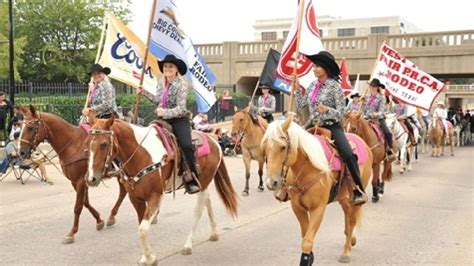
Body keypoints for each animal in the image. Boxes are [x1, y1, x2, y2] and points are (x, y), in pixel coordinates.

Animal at [18, 105, 127, 244]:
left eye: (31, 127)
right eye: (21, 127)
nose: (21, 152)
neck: (72, 144)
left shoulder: (81, 181)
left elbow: (78, 207)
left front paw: (72, 233)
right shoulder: (75, 181)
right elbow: (85, 202)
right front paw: (99, 220)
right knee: (123, 191)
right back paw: (112, 216)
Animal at [86, 117, 237, 266]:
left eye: (104, 144)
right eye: (87, 144)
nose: (91, 179)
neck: (141, 154)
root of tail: (213, 140)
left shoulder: (155, 196)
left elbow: (142, 229)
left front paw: (150, 258)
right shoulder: (135, 199)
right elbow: (141, 225)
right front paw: (145, 257)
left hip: (203, 183)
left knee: (198, 210)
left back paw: (188, 245)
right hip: (203, 185)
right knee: (207, 201)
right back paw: (214, 233)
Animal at [262, 119, 374, 266]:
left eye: (283, 147)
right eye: (264, 148)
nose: (271, 183)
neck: (308, 168)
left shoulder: (318, 209)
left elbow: (307, 241)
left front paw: (308, 258)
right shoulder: (298, 208)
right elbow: (305, 236)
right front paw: (310, 257)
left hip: (356, 198)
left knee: (352, 220)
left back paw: (346, 251)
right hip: (343, 197)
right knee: (347, 216)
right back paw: (351, 241)